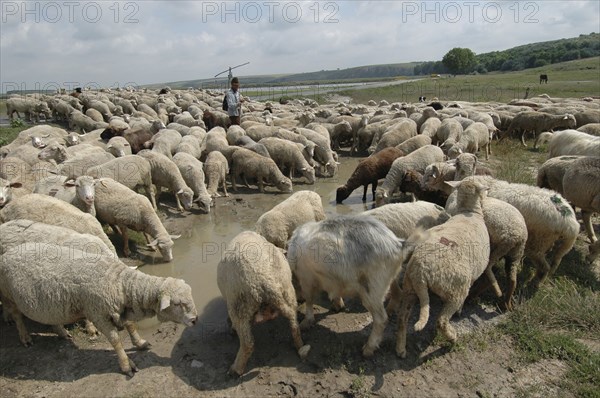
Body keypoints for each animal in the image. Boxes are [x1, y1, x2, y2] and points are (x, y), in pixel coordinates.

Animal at [0, 239, 197, 376]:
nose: (195, 320)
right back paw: (25, 337)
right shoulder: (97, 313)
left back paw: (62, 332)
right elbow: (115, 341)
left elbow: (131, 325)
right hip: (8, 294)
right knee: (17, 316)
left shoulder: (120, 309)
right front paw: (126, 365)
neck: (120, 283)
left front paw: (140, 343)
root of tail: (7, 253)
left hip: (47, 302)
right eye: (177, 304)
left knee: (50, 318)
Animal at [217, 230, 310, 376]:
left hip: (240, 306)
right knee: (295, 327)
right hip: (288, 295)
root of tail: (266, 281)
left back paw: (235, 369)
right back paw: (300, 346)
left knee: (248, 344)